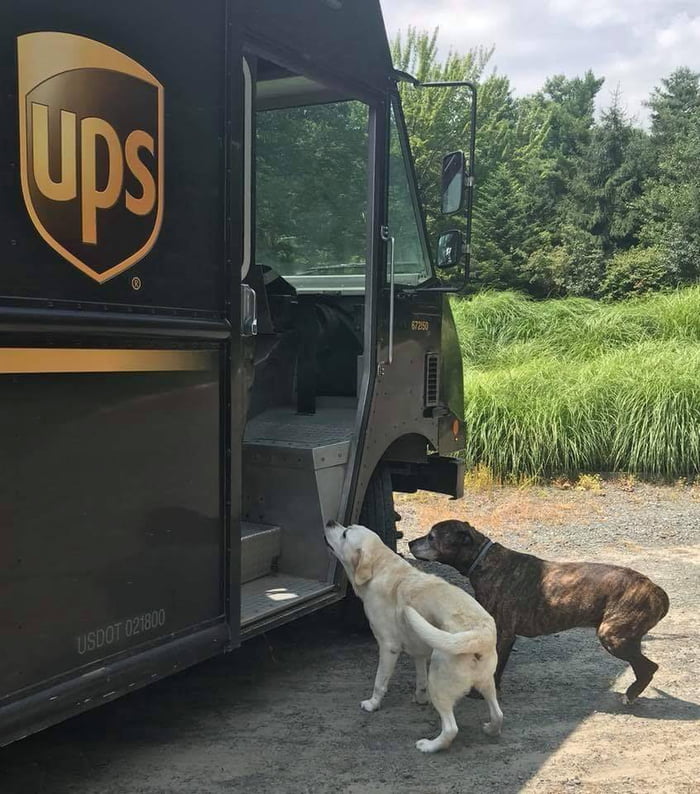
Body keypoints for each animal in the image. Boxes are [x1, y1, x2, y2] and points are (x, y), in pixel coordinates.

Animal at [324, 520, 503, 752]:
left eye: (345, 534)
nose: (330, 522)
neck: (381, 567)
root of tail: (481, 633)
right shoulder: (418, 651)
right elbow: (420, 678)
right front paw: (420, 698)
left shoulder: (388, 647)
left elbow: (379, 682)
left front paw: (372, 704)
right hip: (486, 683)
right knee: (498, 715)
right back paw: (490, 728)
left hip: (440, 683)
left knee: (451, 729)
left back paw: (429, 746)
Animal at [409, 520, 670, 703]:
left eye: (432, 537)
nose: (410, 543)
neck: (484, 561)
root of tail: (657, 591)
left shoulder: (505, 634)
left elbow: (497, 667)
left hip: (613, 636)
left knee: (649, 668)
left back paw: (631, 694)